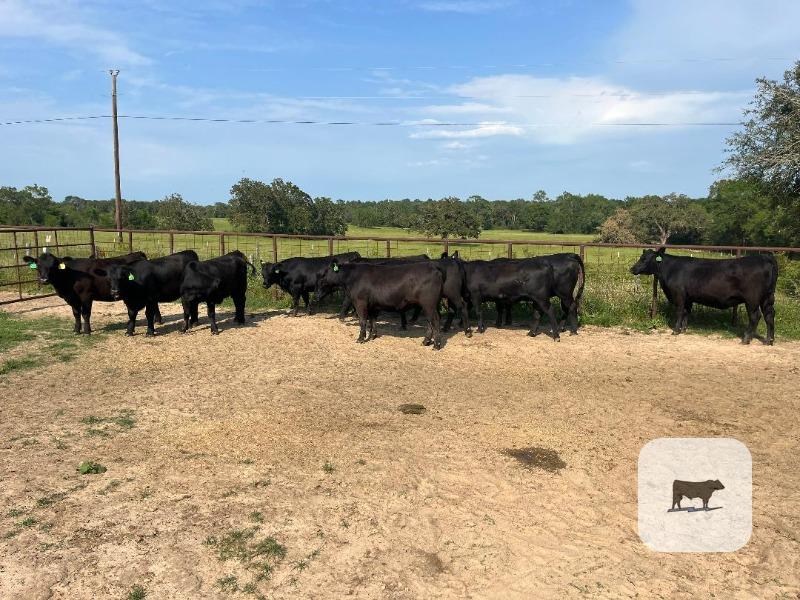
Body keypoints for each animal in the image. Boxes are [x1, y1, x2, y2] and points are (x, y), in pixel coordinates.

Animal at [22, 251, 152, 335]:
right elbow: (76, 314)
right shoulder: (72, 298)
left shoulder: (86, 296)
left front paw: (87, 331)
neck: (70, 275)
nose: (44, 279)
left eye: (53, 266)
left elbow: (85, 314)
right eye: (38, 265)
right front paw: (76, 330)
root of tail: (138, 253)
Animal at [630, 248, 778, 344]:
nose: (632, 269)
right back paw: (769, 340)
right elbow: (686, 312)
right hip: (767, 297)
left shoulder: (679, 294)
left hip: (752, 299)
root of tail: (764, 257)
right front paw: (684, 329)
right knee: (769, 316)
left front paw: (676, 330)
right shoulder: (688, 297)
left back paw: (746, 339)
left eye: (644, 259)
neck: (671, 269)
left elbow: (679, 311)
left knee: (755, 316)